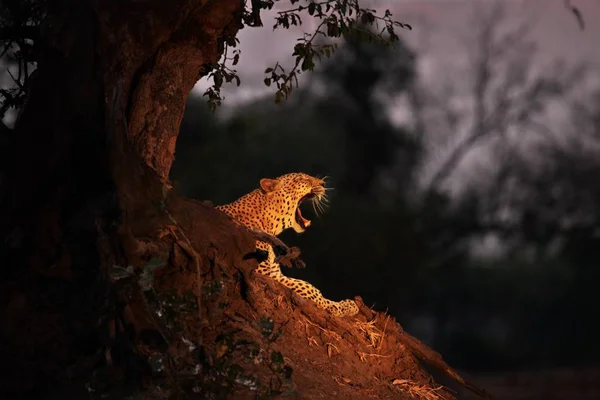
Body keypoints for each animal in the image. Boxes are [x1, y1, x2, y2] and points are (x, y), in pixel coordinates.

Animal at [218, 173, 358, 318]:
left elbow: (305, 285)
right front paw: (343, 307)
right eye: (303, 179)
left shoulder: (274, 272)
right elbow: (310, 289)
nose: (323, 184)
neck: (268, 224)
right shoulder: (264, 273)